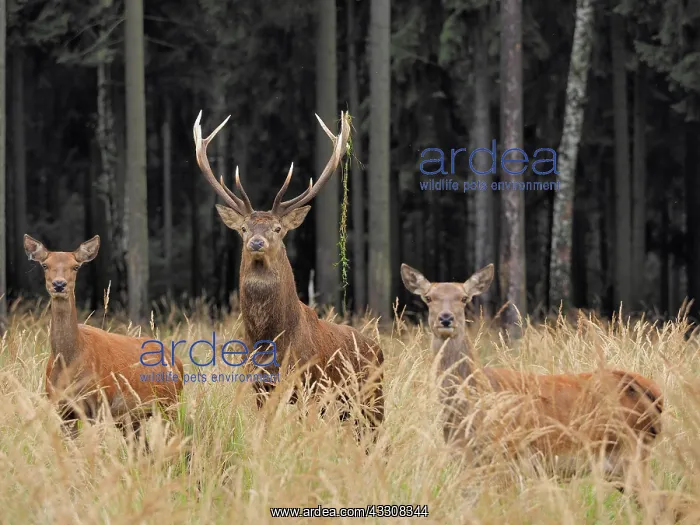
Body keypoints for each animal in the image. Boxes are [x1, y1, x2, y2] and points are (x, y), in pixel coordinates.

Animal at [24, 234, 184, 440]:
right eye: (45, 265)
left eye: (75, 266)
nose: (59, 284)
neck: (70, 361)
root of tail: (178, 362)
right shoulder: (61, 408)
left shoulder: (98, 403)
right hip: (132, 417)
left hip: (170, 402)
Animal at [191, 110, 384, 433]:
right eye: (244, 229)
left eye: (278, 228)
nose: (256, 242)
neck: (270, 340)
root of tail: (379, 349)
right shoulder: (260, 386)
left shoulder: (310, 385)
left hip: (374, 398)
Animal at [400, 263, 664, 494]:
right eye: (428, 298)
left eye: (464, 298)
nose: (446, 318)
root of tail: (655, 394)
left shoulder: (504, 455)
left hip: (629, 452)